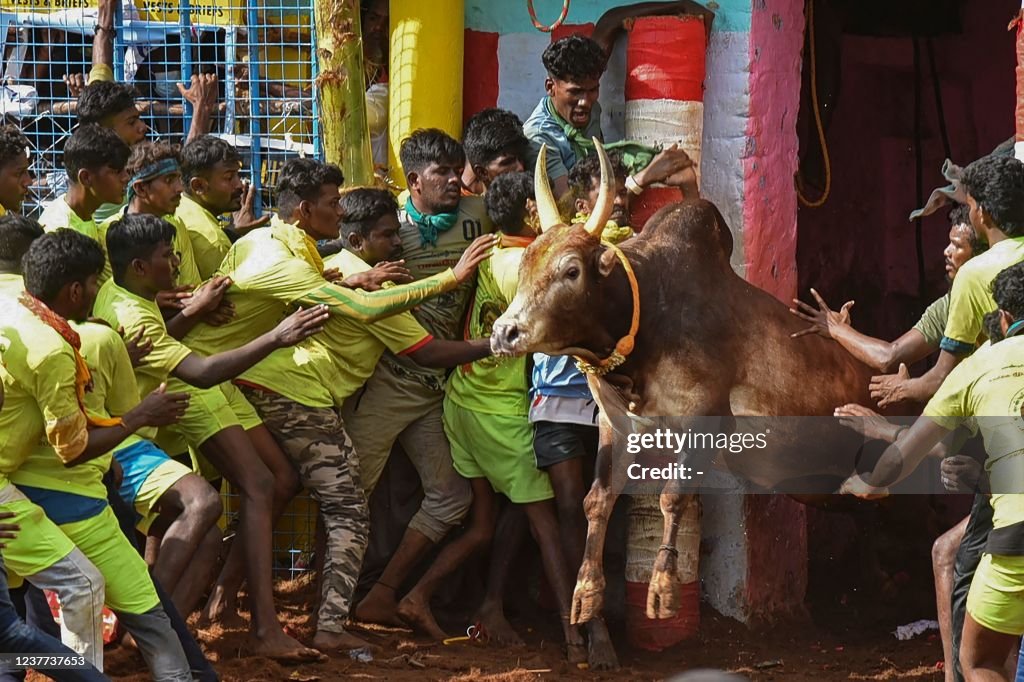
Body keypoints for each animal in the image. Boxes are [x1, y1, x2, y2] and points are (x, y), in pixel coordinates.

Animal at [489, 140, 880, 630]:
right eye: (523, 264)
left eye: (571, 271)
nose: (504, 333)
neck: (645, 319)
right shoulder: (617, 424)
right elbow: (597, 499)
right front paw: (585, 593)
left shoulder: (705, 416)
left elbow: (673, 498)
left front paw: (662, 588)